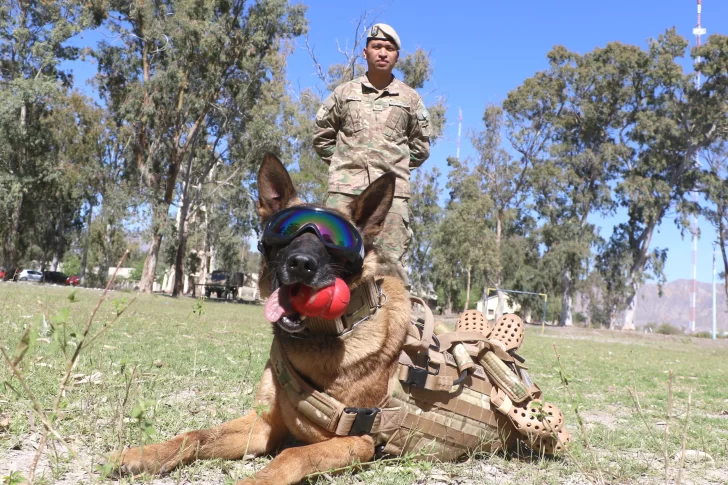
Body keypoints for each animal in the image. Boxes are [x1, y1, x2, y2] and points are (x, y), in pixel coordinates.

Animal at [111, 153, 412, 482]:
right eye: (286, 230)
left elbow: (291, 455)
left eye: (335, 240)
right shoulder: (263, 424)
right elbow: (197, 434)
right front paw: (145, 453)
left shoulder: (359, 441)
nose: (301, 264)